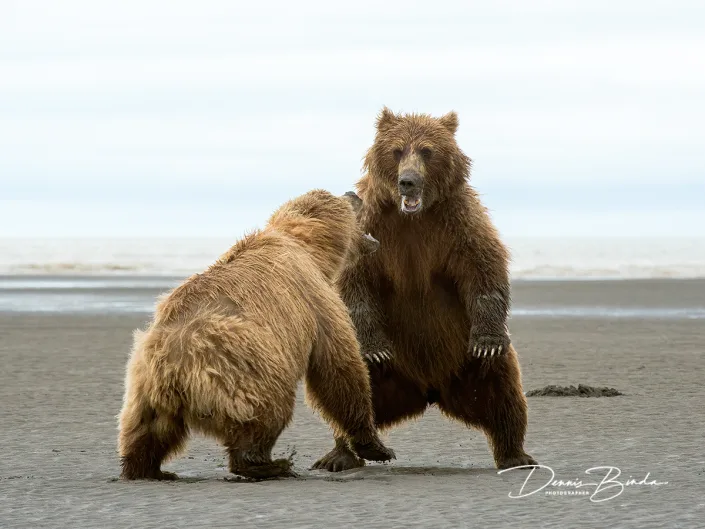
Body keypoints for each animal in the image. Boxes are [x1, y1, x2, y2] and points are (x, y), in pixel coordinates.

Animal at [117, 189, 395, 481]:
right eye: (342, 198)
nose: (354, 193)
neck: (310, 247)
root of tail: (171, 366)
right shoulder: (316, 296)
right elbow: (340, 366)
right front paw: (376, 447)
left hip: (143, 387)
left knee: (144, 431)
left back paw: (146, 468)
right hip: (242, 367)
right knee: (267, 411)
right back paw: (270, 463)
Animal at [312, 108, 537, 472]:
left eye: (428, 150)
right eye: (397, 150)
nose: (408, 181)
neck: (413, 218)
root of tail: (429, 390)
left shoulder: (458, 222)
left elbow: (483, 268)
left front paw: (487, 341)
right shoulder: (371, 226)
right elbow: (354, 282)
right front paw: (376, 349)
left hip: (468, 360)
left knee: (504, 391)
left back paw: (516, 454)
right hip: (380, 371)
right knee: (348, 390)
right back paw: (346, 453)